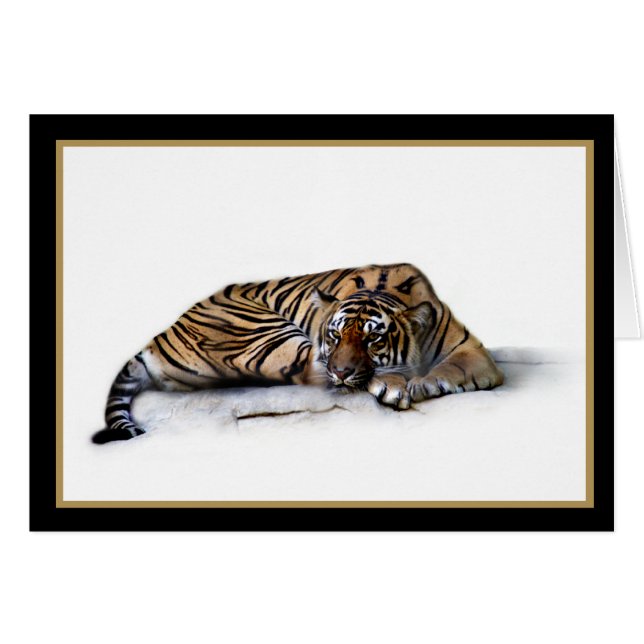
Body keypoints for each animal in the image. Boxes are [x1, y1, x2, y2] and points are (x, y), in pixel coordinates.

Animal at [92, 263, 503, 443]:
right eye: (334, 336)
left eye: (373, 340)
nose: (342, 371)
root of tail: (159, 334)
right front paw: (396, 385)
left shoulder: (473, 352)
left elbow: (453, 368)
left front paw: (429, 383)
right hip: (265, 332)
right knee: (309, 373)